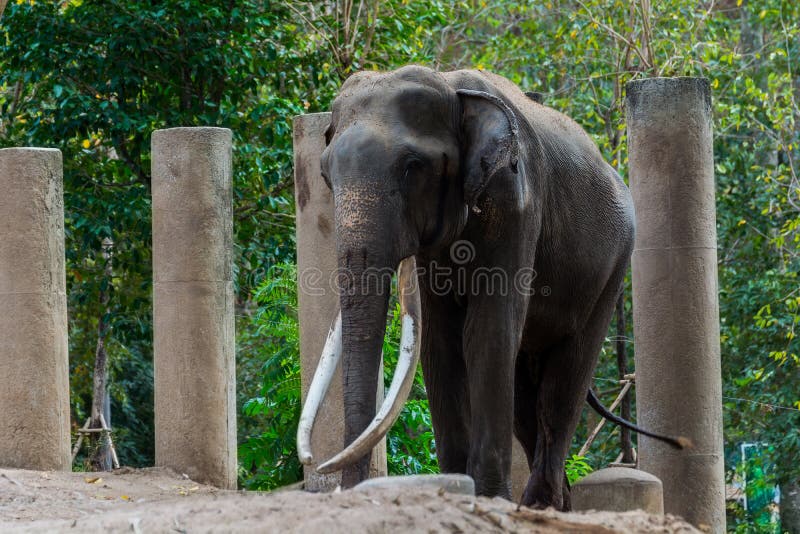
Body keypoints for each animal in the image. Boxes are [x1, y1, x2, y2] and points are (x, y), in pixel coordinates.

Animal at [296, 65, 687, 510]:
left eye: (413, 166)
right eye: (325, 174)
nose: (324, 469)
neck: (453, 90)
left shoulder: (514, 203)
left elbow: (486, 332)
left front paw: (488, 498)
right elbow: (440, 341)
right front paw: (455, 488)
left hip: (613, 267)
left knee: (564, 381)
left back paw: (539, 503)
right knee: (524, 394)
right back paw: (557, 504)